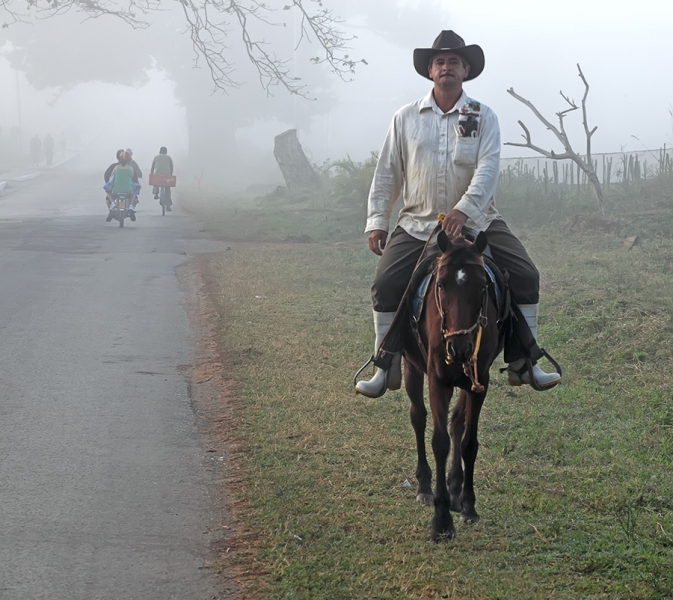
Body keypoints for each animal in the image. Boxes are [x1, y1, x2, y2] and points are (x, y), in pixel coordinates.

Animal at [400, 229, 504, 540]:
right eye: (441, 285)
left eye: (482, 286)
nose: (459, 348)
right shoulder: (438, 381)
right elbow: (439, 442)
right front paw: (441, 519)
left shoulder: (480, 381)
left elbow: (469, 442)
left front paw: (468, 505)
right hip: (412, 367)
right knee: (418, 417)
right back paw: (424, 487)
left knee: (457, 421)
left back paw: (456, 489)